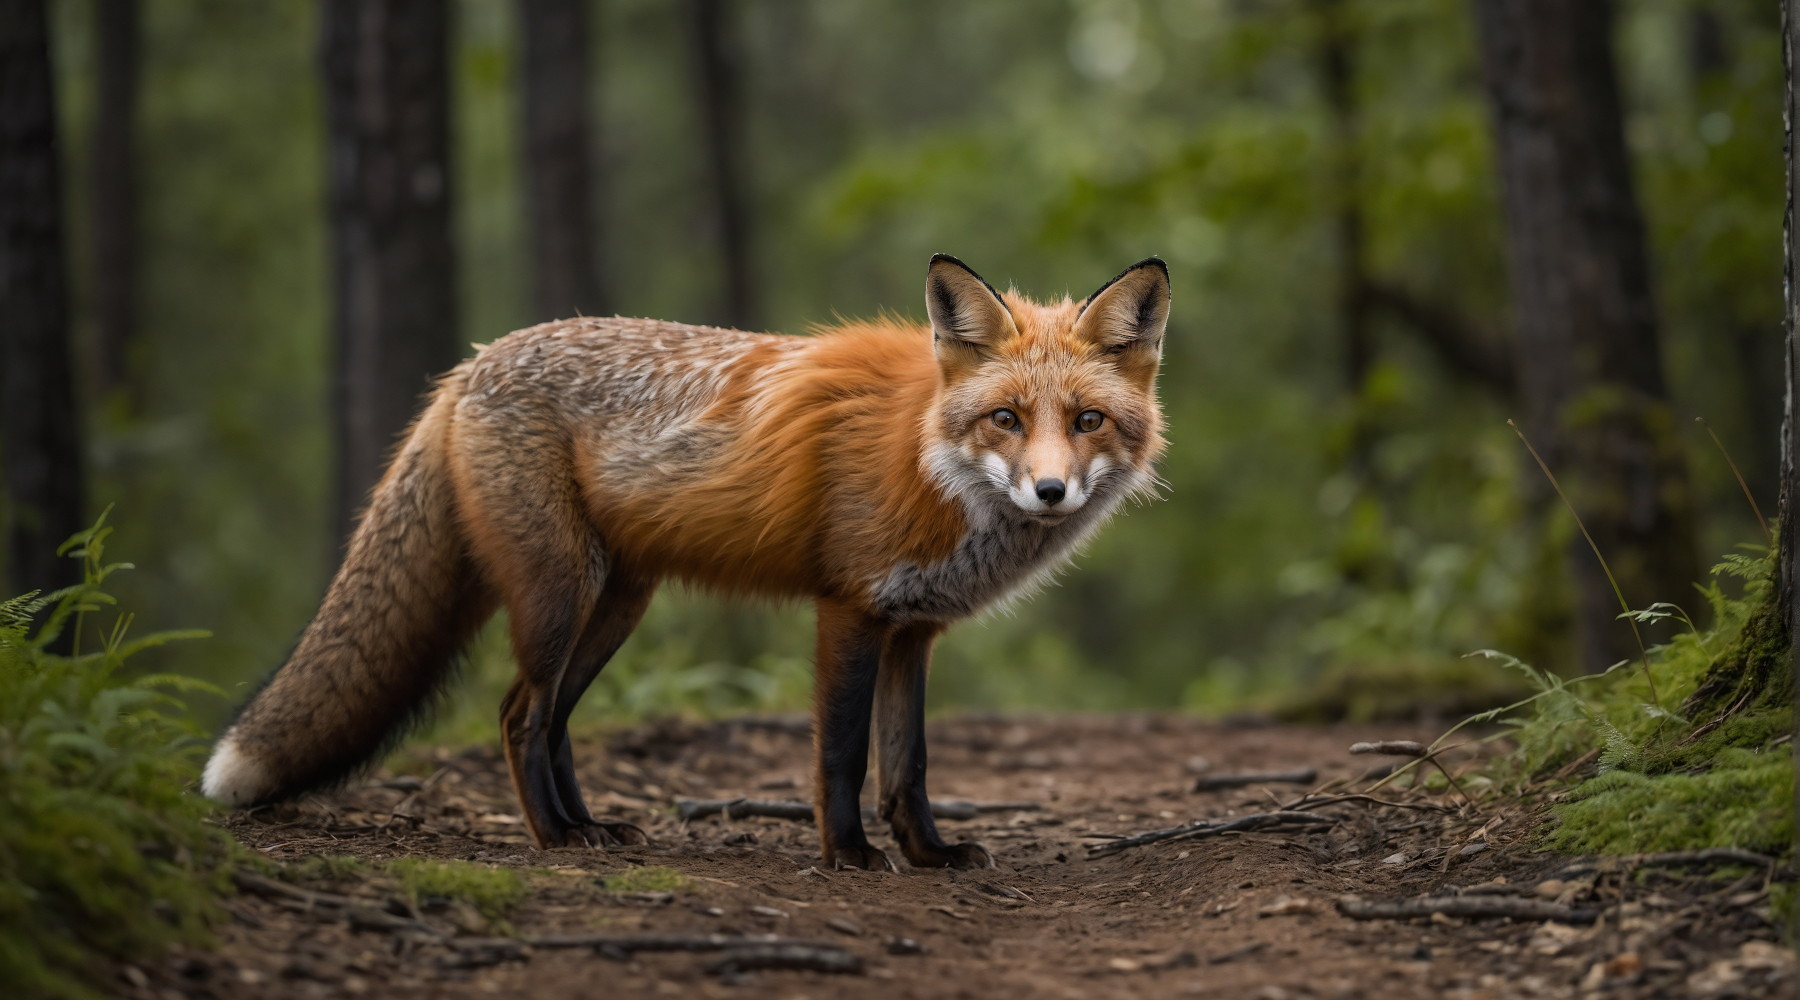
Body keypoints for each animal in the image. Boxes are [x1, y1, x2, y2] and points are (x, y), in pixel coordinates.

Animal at [202, 254, 1169, 871]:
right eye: (1006, 418)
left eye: (1086, 421)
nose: (1050, 491)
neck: (927, 458)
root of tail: (469, 365)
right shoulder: (850, 611)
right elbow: (843, 757)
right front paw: (849, 856)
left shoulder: (913, 629)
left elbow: (910, 767)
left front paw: (928, 854)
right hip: (560, 594)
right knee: (519, 714)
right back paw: (555, 841)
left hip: (616, 606)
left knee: (555, 722)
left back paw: (591, 827)